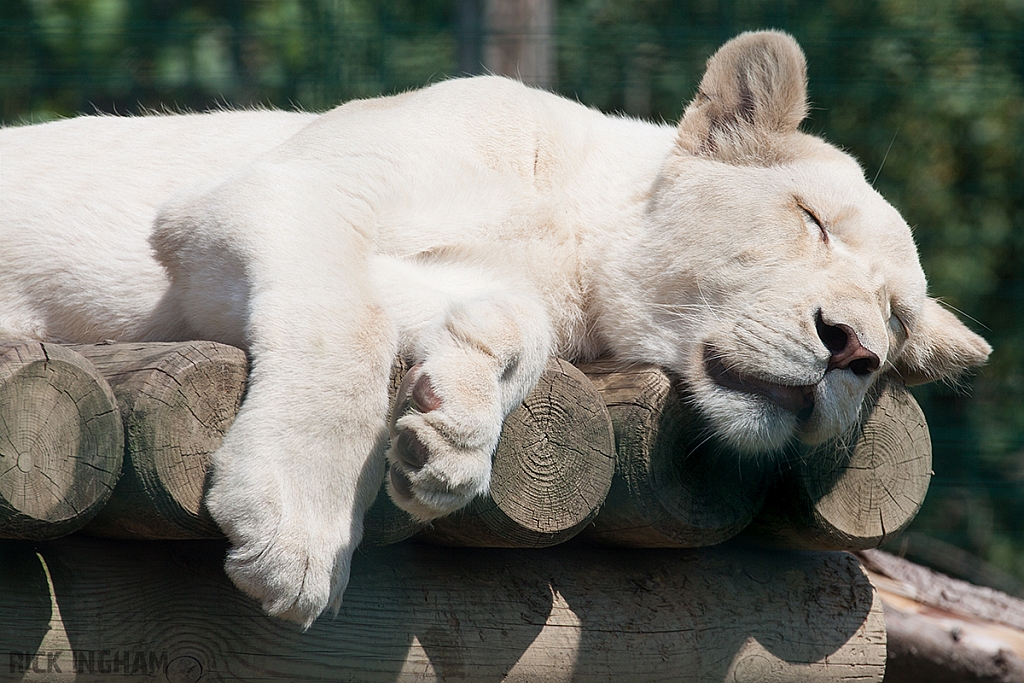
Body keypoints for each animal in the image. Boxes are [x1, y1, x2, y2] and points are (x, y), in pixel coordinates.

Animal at [2, 34, 991, 626]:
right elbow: (344, 330)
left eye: (898, 323)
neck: (573, 242)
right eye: (811, 219)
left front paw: (447, 438)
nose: (852, 349)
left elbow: (500, 324)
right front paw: (295, 531)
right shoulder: (263, 195)